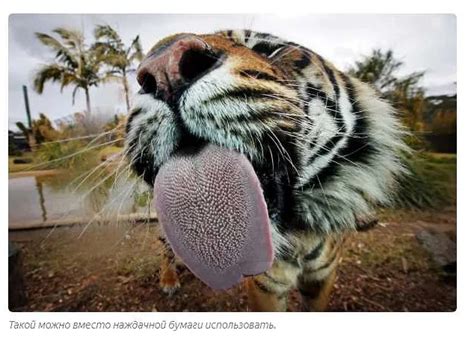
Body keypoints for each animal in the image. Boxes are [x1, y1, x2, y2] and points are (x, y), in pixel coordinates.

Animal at [125, 30, 408, 312]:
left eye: (266, 49)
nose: (163, 68)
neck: (299, 237)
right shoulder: (265, 286)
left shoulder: (322, 277)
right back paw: (169, 280)